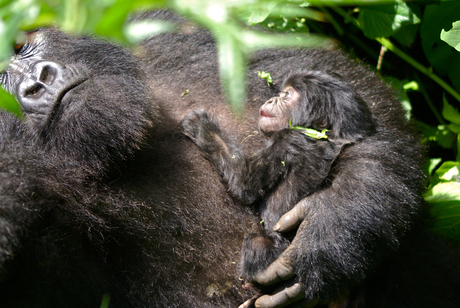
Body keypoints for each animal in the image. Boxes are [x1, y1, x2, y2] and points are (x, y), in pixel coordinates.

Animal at [181, 70, 376, 286]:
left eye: (287, 95)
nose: (271, 99)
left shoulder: (286, 138)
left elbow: (245, 184)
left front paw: (201, 126)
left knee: (257, 242)